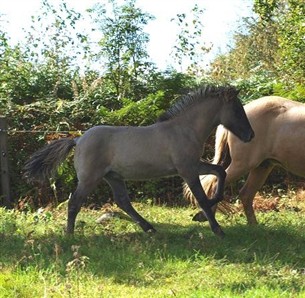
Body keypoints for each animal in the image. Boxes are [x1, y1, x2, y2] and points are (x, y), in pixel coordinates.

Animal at [23, 86, 253, 237]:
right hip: (90, 179)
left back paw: (149, 228)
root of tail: (78, 140)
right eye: (237, 109)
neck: (183, 129)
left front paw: (203, 214)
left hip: (113, 177)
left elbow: (220, 172)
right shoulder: (187, 169)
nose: (250, 135)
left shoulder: (194, 165)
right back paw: (69, 235)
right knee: (74, 202)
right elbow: (202, 197)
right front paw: (217, 228)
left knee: (122, 201)